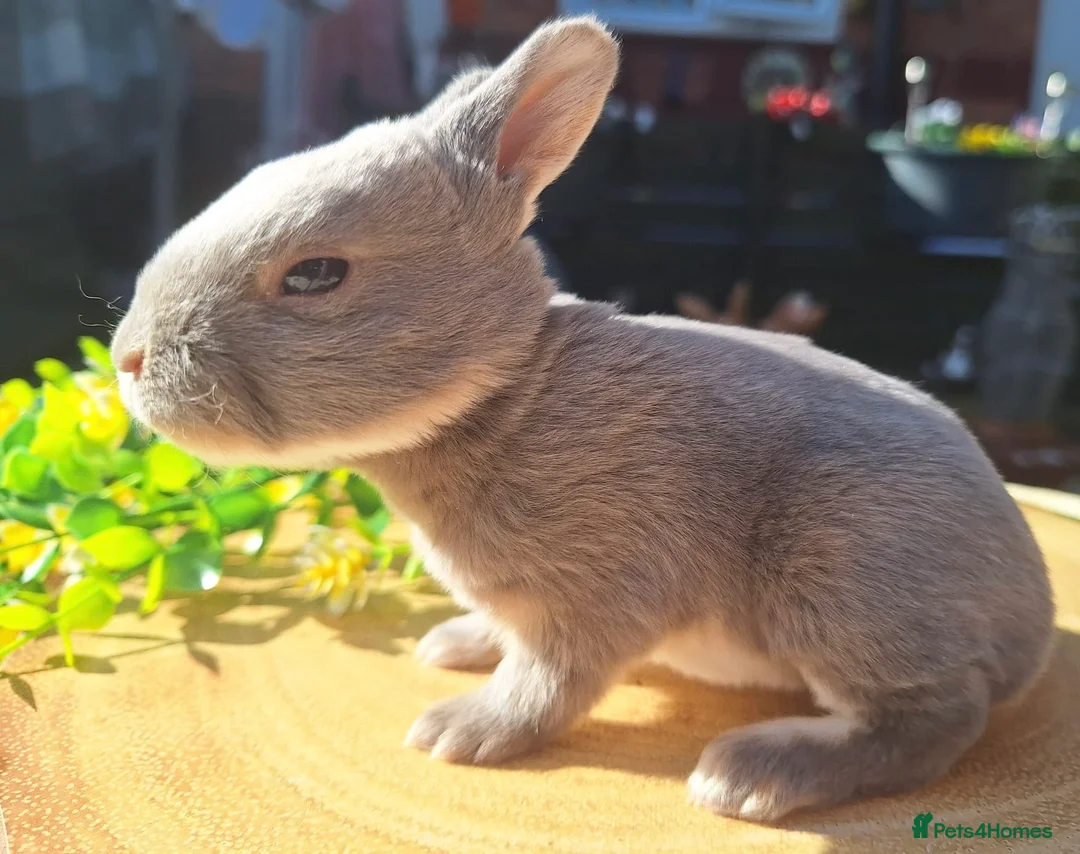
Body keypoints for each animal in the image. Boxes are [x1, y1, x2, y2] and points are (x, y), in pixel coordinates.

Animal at [110, 15, 1055, 822]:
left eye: (315, 275)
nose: (128, 358)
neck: (504, 395)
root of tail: (1034, 621)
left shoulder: (596, 592)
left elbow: (550, 685)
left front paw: (460, 729)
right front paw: (457, 642)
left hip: (843, 576)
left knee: (936, 716)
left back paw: (755, 773)